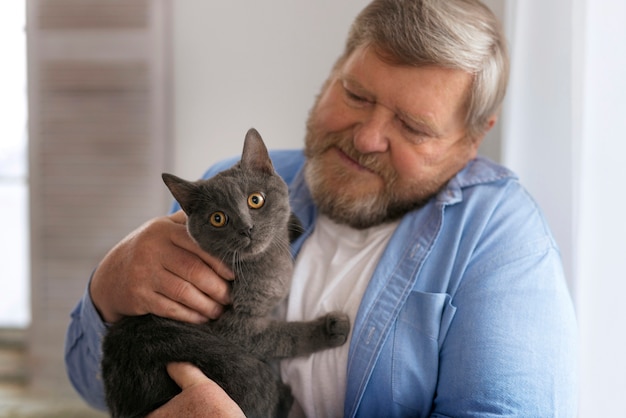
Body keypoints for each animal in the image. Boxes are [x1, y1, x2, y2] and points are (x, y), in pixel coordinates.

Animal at [100, 128, 348, 418]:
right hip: (239, 366)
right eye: (217, 218)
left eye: (256, 199)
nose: (247, 228)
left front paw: (293, 223)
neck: (271, 263)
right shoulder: (237, 328)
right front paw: (329, 329)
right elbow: (284, 335)